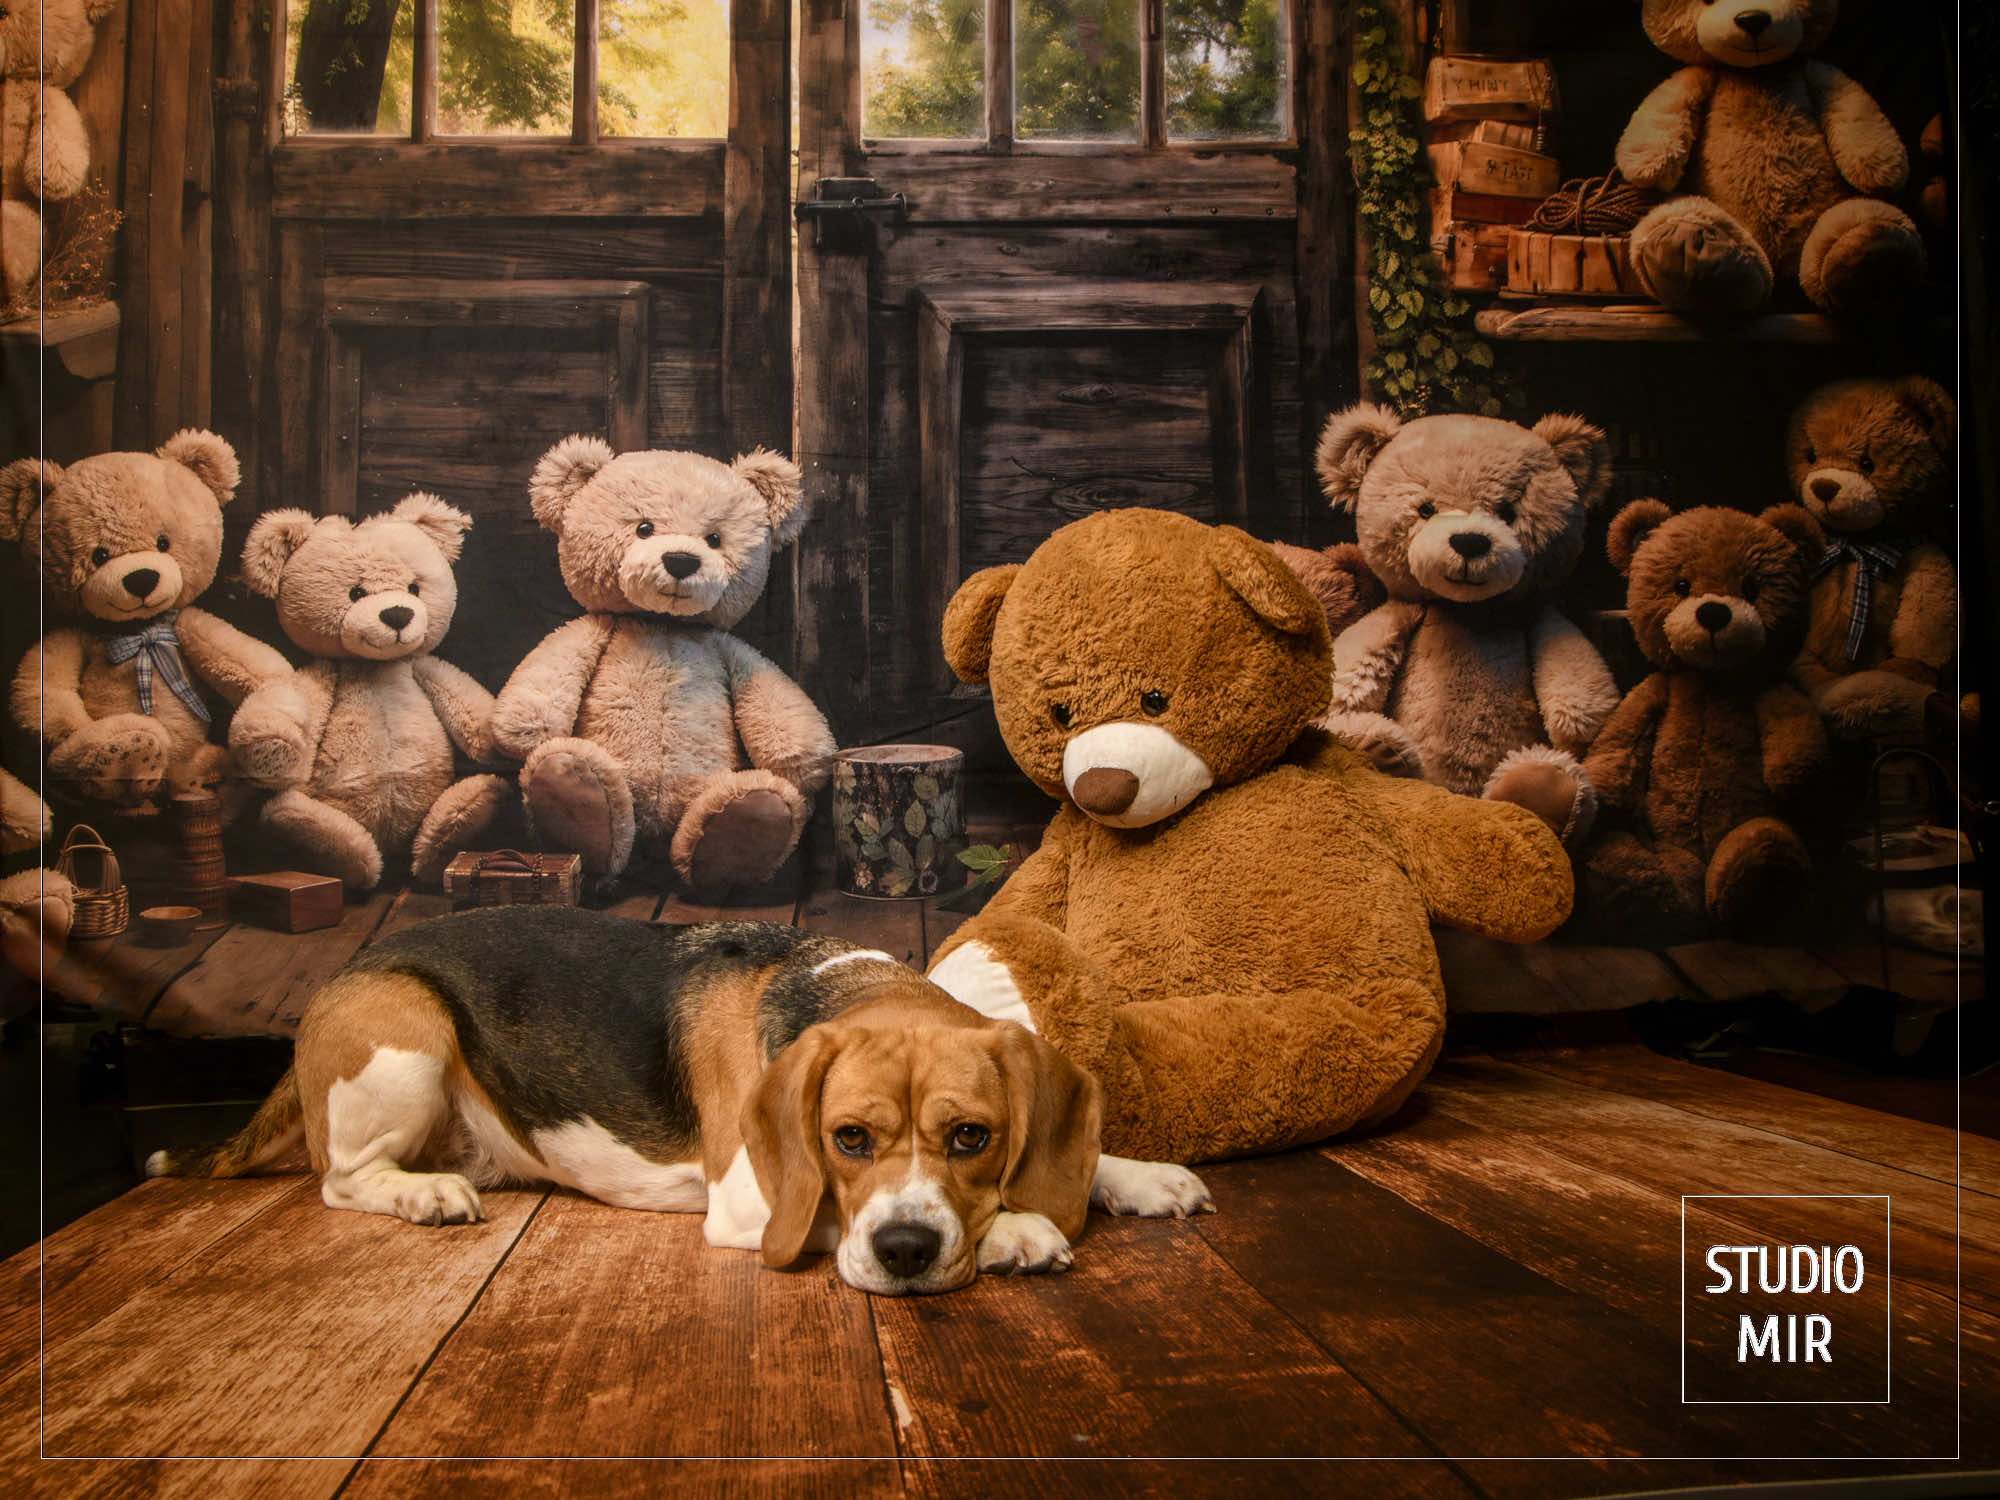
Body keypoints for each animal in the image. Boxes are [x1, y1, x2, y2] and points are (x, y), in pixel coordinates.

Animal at [148, 912, 1208, 1296]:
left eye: (971, 1136)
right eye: (846, 1140)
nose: (906, 1252)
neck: (834, 985)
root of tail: (344, 971)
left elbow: (1080, 1158)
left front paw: (1136, 1175)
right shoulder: (751, 1202)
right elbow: (822, 1213)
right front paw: (1018, 1229)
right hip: (407, 1028)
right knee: (340, 1179)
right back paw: (423, 1193)